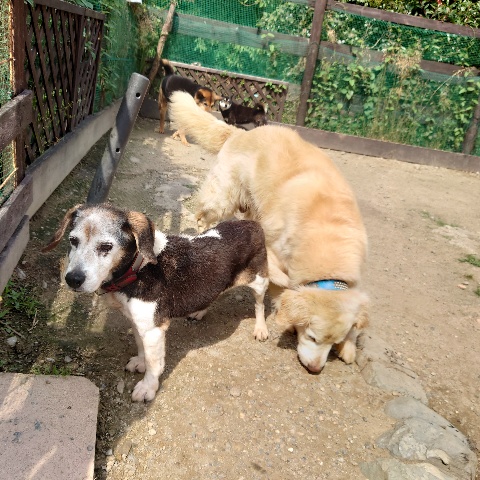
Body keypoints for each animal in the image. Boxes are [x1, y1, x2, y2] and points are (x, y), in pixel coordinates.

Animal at [43, 203, 269, 402]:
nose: (72, 279)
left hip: (260, 281)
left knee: (260, 305)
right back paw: (200, 311)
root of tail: (250, 223)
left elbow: (154, 365)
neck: (138, 268)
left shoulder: (153, 330)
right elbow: (141, 347)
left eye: (106, 246)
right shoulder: (138, 323)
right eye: (73, 240)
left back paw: (261, 329)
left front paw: (147, 387)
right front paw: (140, 362)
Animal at [168, 91, 369, 374]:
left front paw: (349, 347)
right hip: (223, 199)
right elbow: (278, 286)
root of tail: (238, 133)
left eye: (333, 342)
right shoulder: (273, 252)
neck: (329, 236)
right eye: (312, 337)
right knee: (203, 218)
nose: (315, 369)